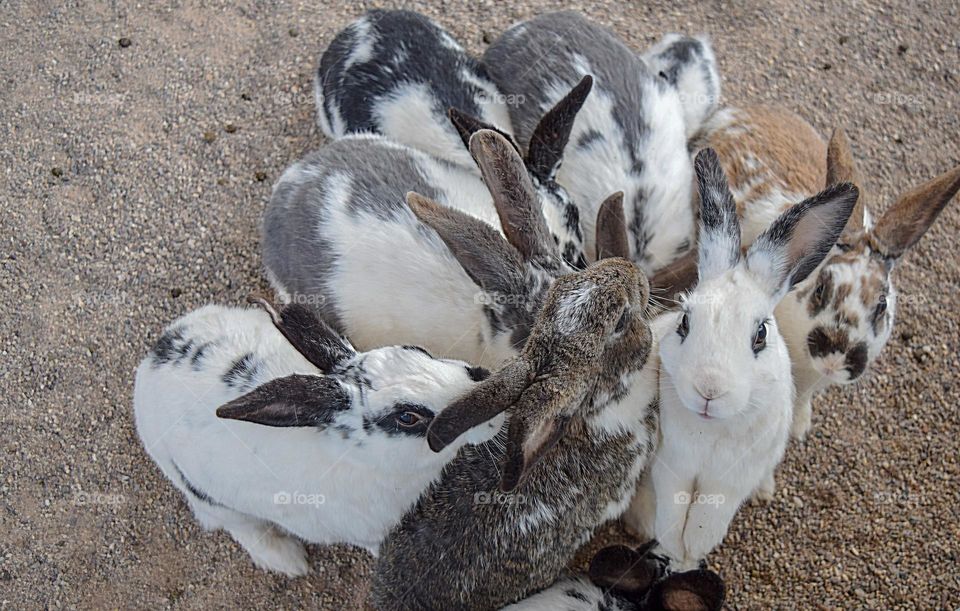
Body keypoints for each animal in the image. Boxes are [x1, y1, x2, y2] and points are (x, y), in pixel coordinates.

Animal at [133, 297, 502, 576]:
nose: (485, 385)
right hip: (212, 500)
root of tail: (151, 362)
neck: (361, 457)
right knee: (239, 527)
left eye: (418, 350)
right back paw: (288, 561)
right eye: (407, 418)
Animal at [623, 149, 859, 570]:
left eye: (760, 334)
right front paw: (676, 549)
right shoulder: (672, 467)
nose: (709, 389)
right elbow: (674, 512)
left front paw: (690, 554)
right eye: (684, 322)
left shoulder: (729, 481)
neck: (711, 429)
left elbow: (707, 520)